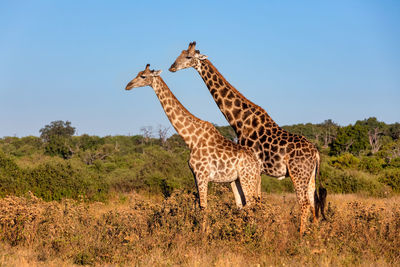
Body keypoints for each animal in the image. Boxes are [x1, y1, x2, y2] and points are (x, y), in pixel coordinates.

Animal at [126, 64, 262, 211]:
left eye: (143, 76)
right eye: (138, 73)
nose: (128, 86)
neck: (191, 139)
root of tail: (257, 165)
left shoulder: (202, 175)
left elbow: (203, 207)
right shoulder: (195, 175)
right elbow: (199, 205)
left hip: (247, 179)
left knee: (251, 206)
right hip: (236, 180)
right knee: (241, 205)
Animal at [170, 42, 326, 237]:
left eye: (189, 57)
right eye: (180, 54)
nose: (172, 67)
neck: (239, 121)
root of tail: (316, 153)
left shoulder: (254, 168)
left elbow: (253, 201)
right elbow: (252, 202)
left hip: (298, 174)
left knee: (304, 203)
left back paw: (300, 235)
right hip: (310, 176)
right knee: (313, 201)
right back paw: (314, 233)